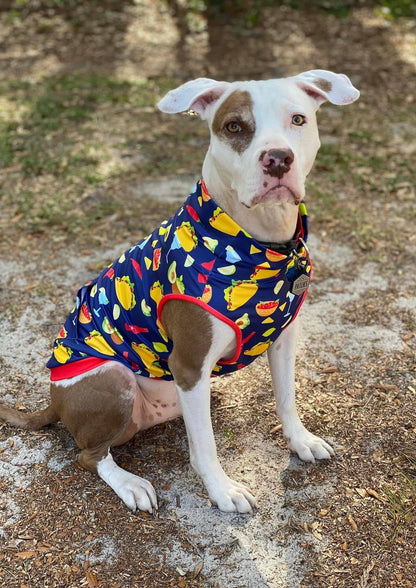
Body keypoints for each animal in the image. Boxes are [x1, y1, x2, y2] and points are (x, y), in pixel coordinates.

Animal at [0, 70, 358, 516]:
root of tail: (54, 400)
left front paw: (301, 440)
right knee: (89, 455)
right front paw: (222, 490)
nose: (277, 158)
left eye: (298, 119)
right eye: (234, 127)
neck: (256, 245)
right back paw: (130, 484)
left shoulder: (284, 338)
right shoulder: (188, 363)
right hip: (113, 379)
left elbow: (286, 397)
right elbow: (204, 447)